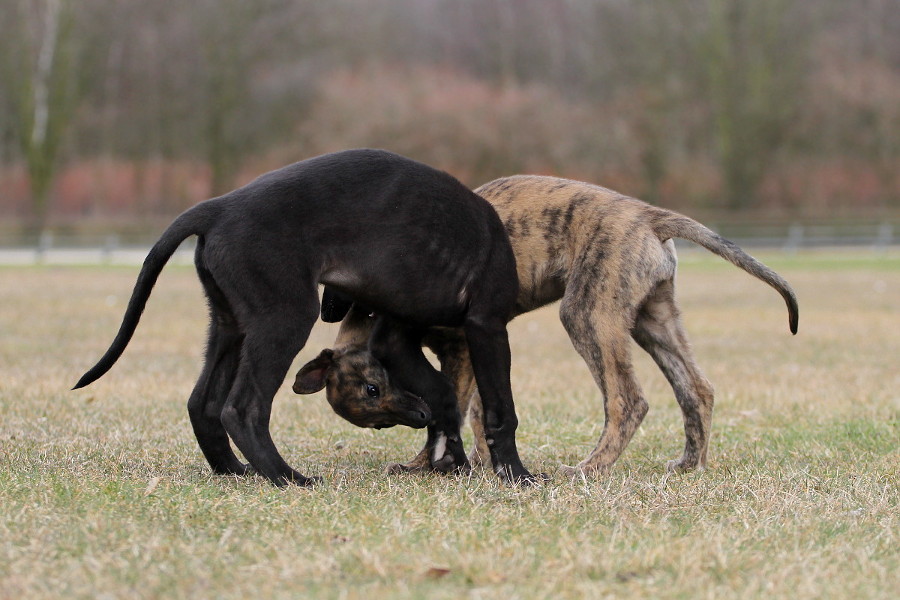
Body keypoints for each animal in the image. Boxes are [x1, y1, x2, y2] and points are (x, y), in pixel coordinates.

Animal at [77, 150, 536, 488]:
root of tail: (219, 207)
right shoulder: (487, 326)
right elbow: (501, 410)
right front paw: (517, 475)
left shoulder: (394, 338)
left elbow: (442, 394)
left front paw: (452, 461)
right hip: (285, 320)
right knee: (242, 408)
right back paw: (287, 477)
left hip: (230, 327)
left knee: (202, 403)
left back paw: (236, 471)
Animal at [298, 175, 800, 478]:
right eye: (376, 416)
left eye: (374, 389)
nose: (326, 310)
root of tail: (647, 215)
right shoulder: (474, 351)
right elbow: (476, 412)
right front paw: (479, 462)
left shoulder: (461, 349)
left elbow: (455, 410)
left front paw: (434, 463)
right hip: (651, 320)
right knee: (696, 389)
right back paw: (689, 465)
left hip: (587, 314)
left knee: (627, 401)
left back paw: (589, 469)